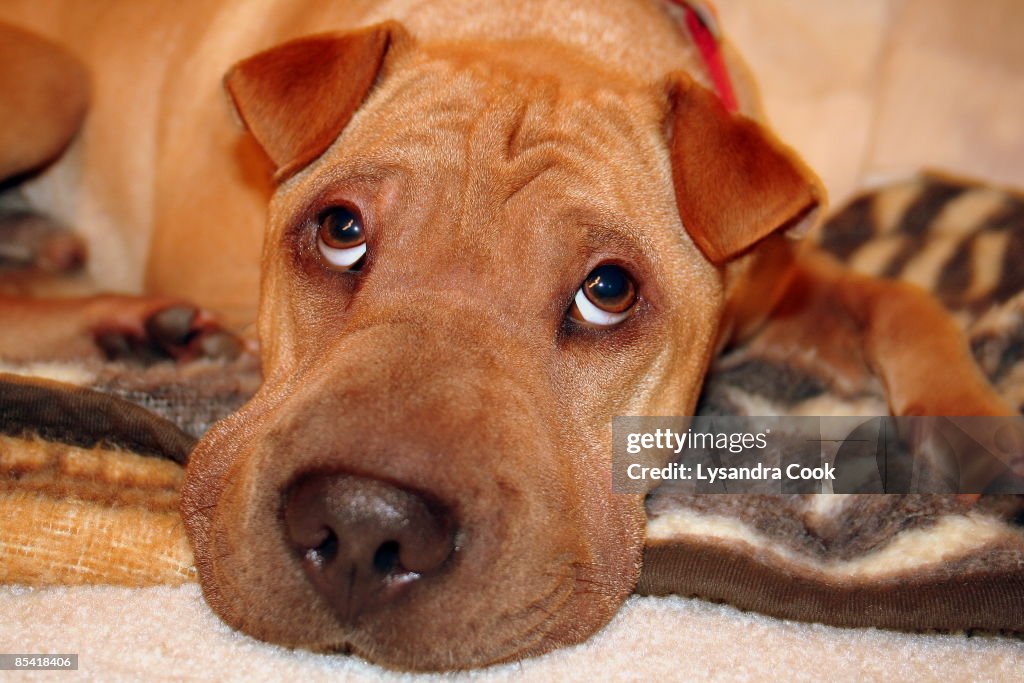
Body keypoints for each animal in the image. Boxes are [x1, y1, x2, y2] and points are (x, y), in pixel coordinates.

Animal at [0, 0, 1011, 671]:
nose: (362, 527)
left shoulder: (784, 278)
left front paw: (970, 421)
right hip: (53, 81)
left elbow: (899, 297)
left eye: (608, 290)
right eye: (340, 229)